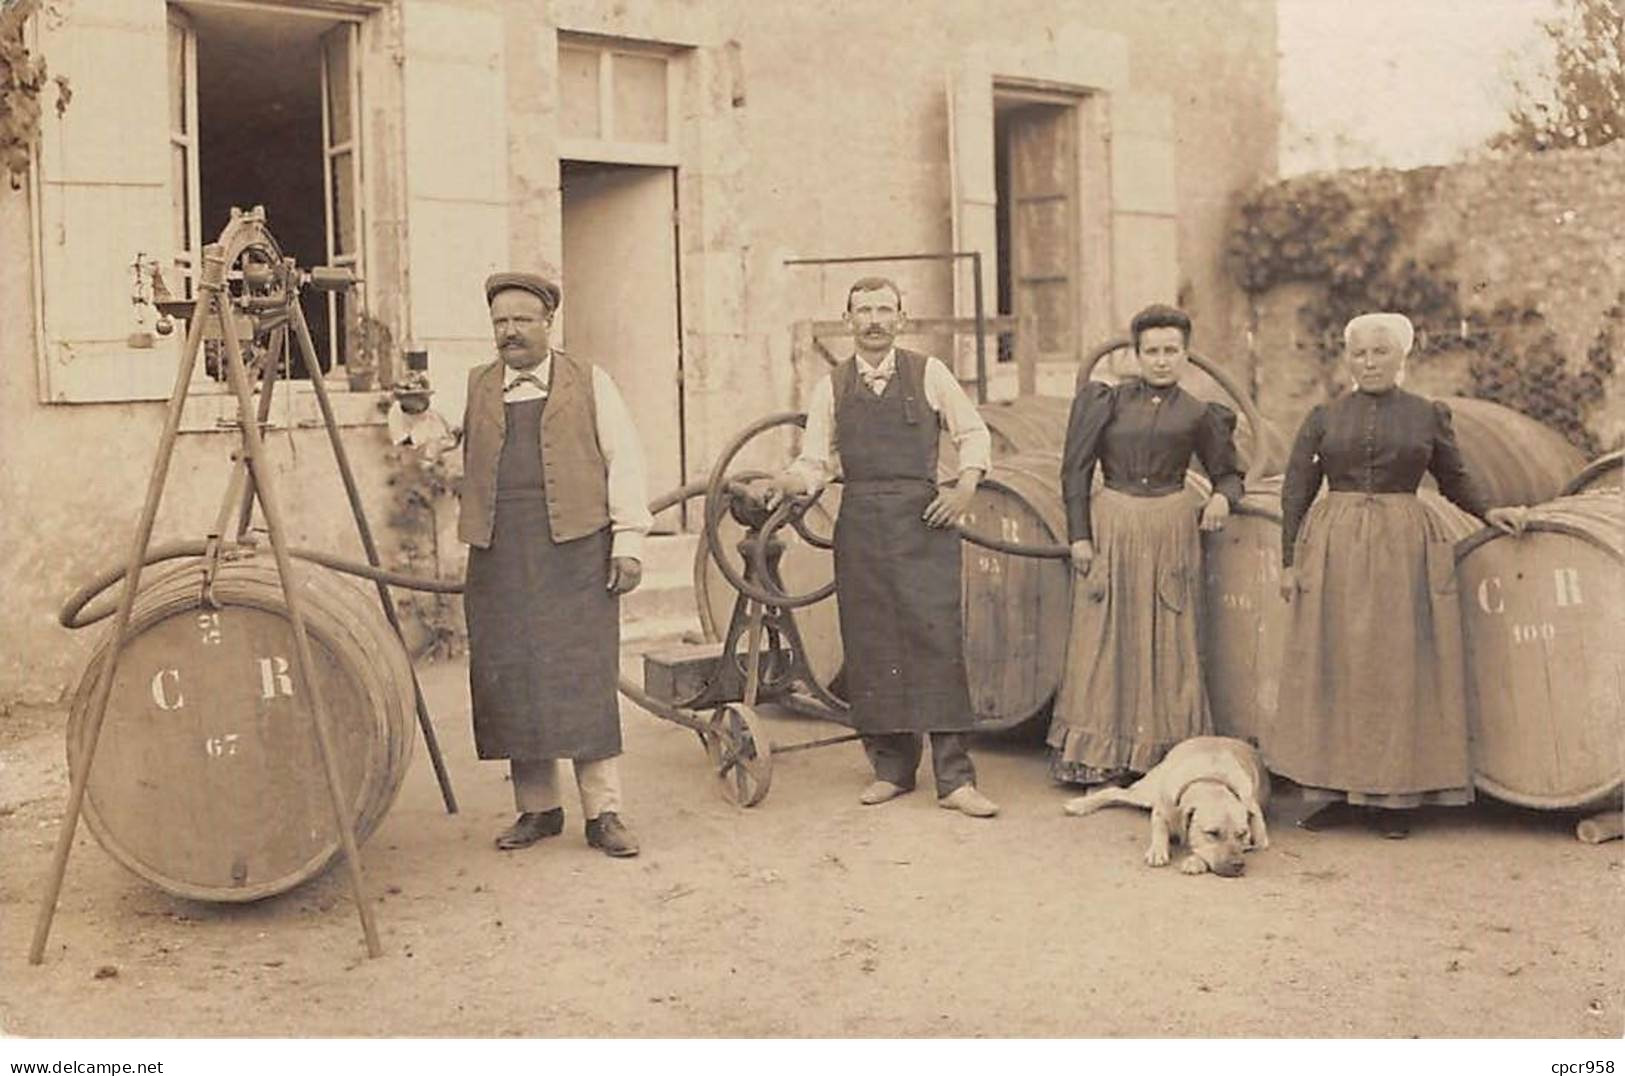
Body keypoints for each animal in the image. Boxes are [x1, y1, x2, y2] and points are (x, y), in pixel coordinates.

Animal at [1059, 737, 1274, 884]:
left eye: (1242, 834)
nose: (1238, 865)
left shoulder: (1255, 833)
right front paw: (1158, 850)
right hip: (1147, 791)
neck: (1211, 780)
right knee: (1116, 791)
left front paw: (1195, 860)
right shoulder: (1162, 807)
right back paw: (1081, 804)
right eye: (1212, 833)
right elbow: (1160, 827)